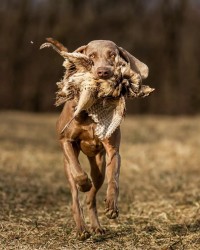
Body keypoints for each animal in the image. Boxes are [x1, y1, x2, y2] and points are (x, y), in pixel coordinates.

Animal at [54, 39, 148, 240]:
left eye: (112, 54)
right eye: (91, 56)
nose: (103, 72)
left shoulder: (113, 151)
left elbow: (114, 178)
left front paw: (112, 204)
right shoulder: (65, 140)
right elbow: (77, 169)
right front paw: (83, 182)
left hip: (99, 167)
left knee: (91, 196)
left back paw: (96, 226)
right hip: (67, 168)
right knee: (75, 196)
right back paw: (81, 228)